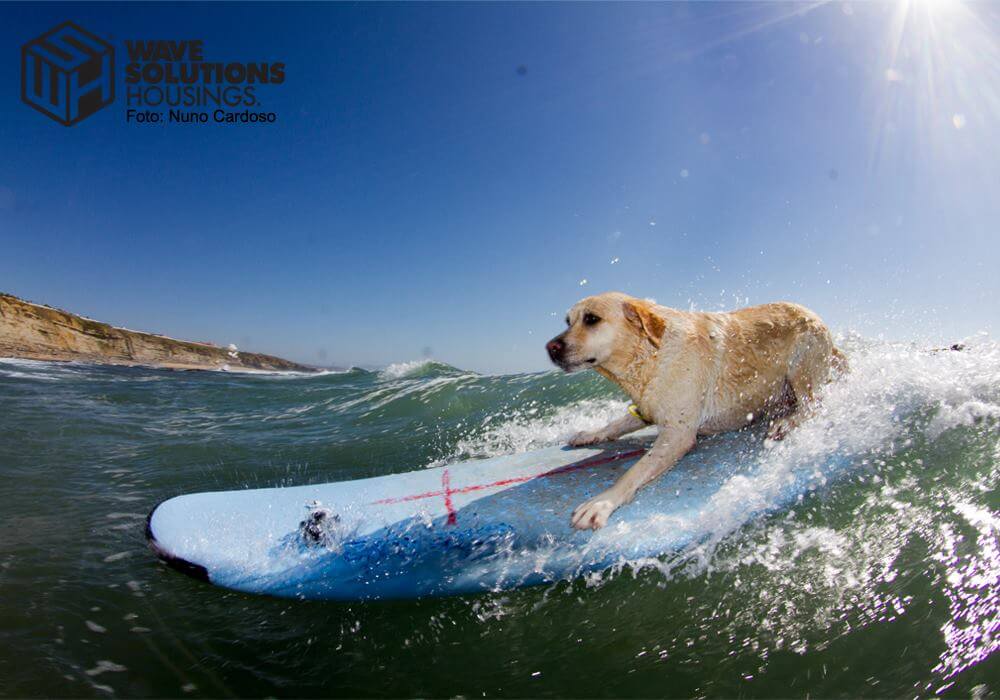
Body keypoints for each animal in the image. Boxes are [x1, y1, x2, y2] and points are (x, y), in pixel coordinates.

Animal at [548, 292, 844, 532]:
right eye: (567, 321)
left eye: (591, 319)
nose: (550, 348)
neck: (650, 356)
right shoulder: (645, 408)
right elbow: (615, 425)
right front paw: (589, 434)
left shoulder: (678, 435)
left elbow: (634, 470)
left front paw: (602, 502)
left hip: (801, 366)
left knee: (813, 405)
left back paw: (786, 422)